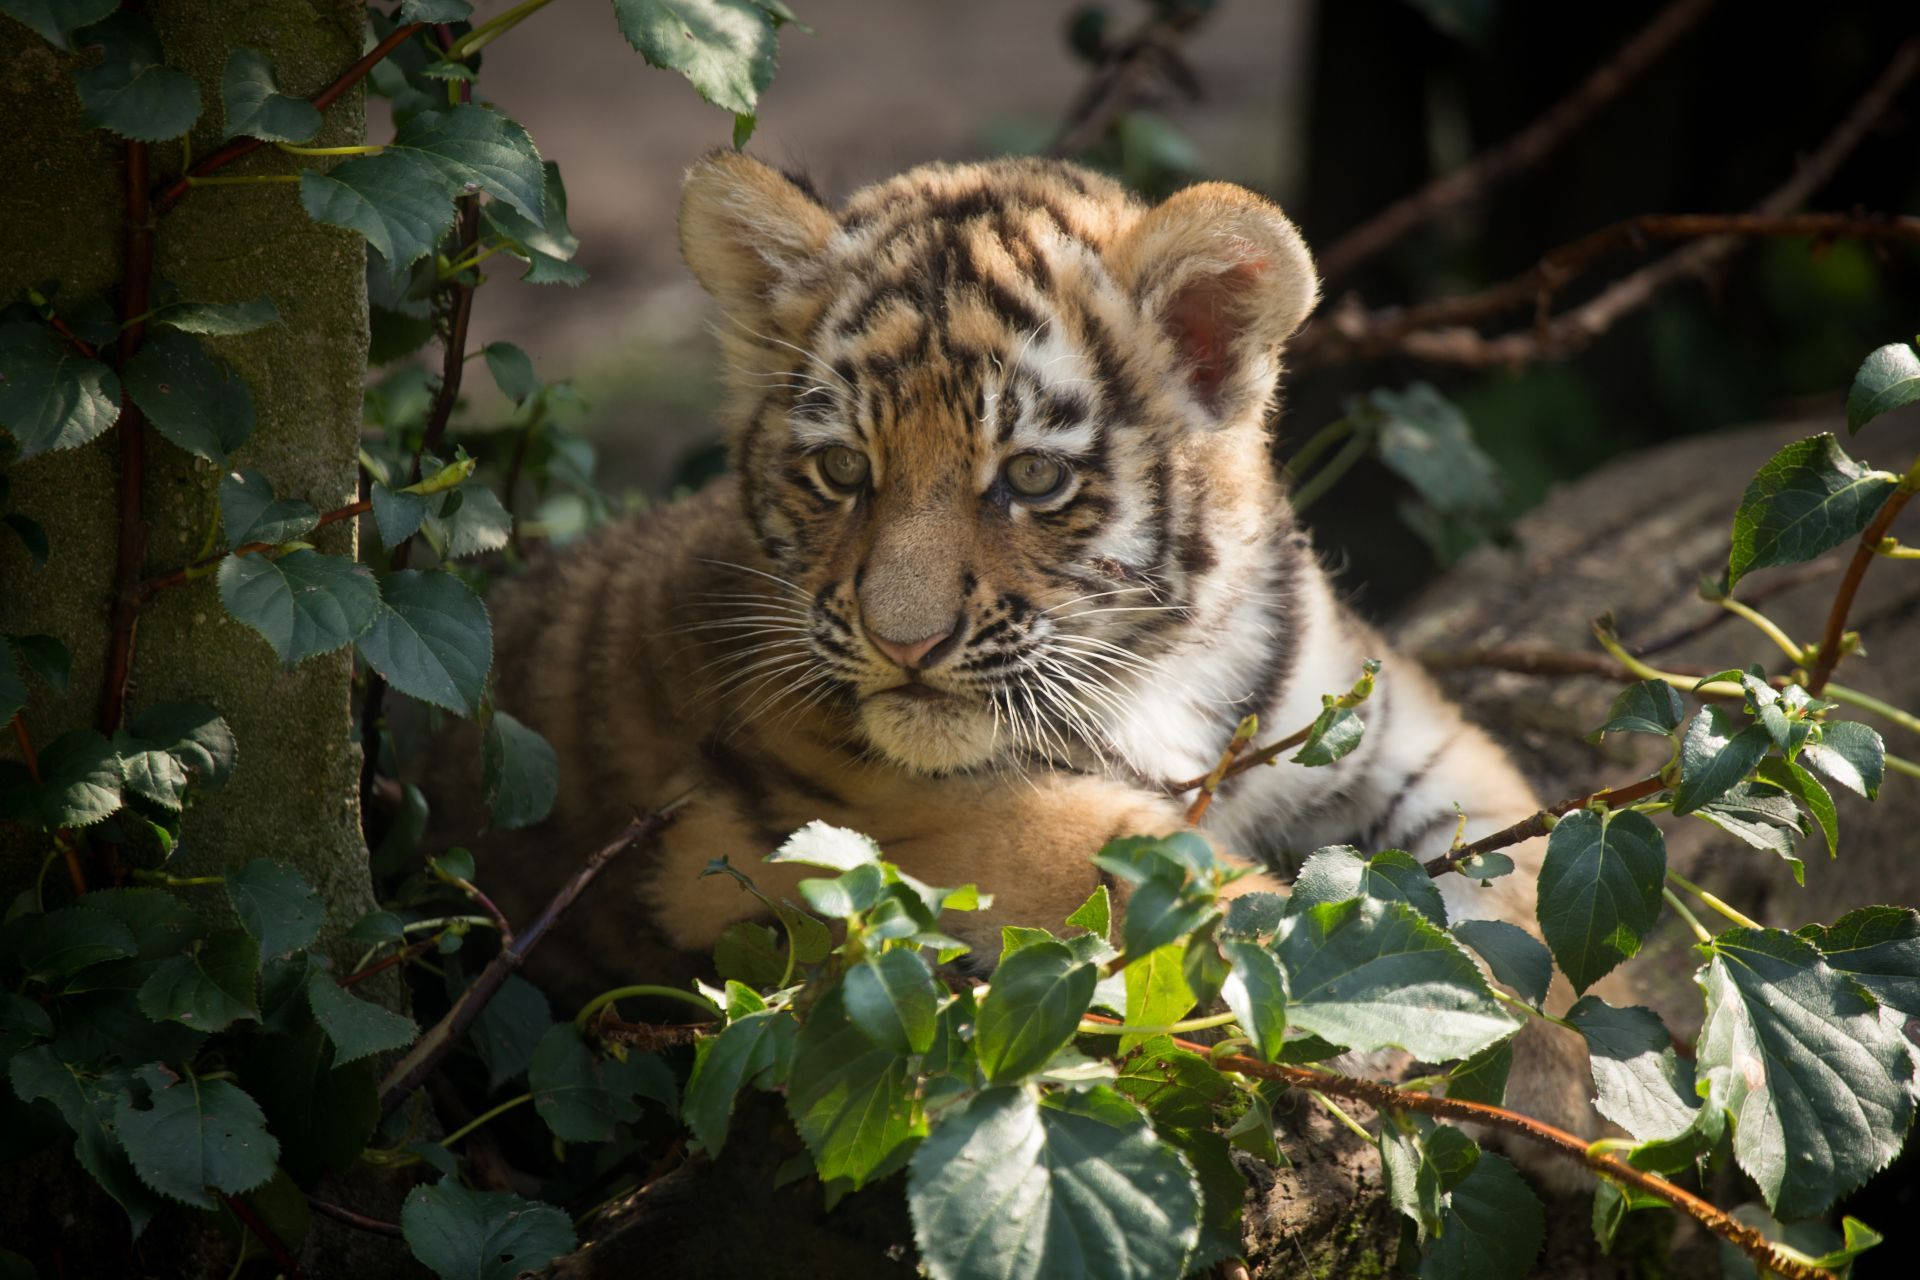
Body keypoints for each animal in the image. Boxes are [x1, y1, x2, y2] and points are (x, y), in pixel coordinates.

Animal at [462, 152, 1593, 1139]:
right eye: (842, 468)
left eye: (1034, 477)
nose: (904, 640)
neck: (1162, 669)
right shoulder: (862, 823)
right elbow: (1190, 895)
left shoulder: (1394, 728)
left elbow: (1529, 892)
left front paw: (1558, 1063)